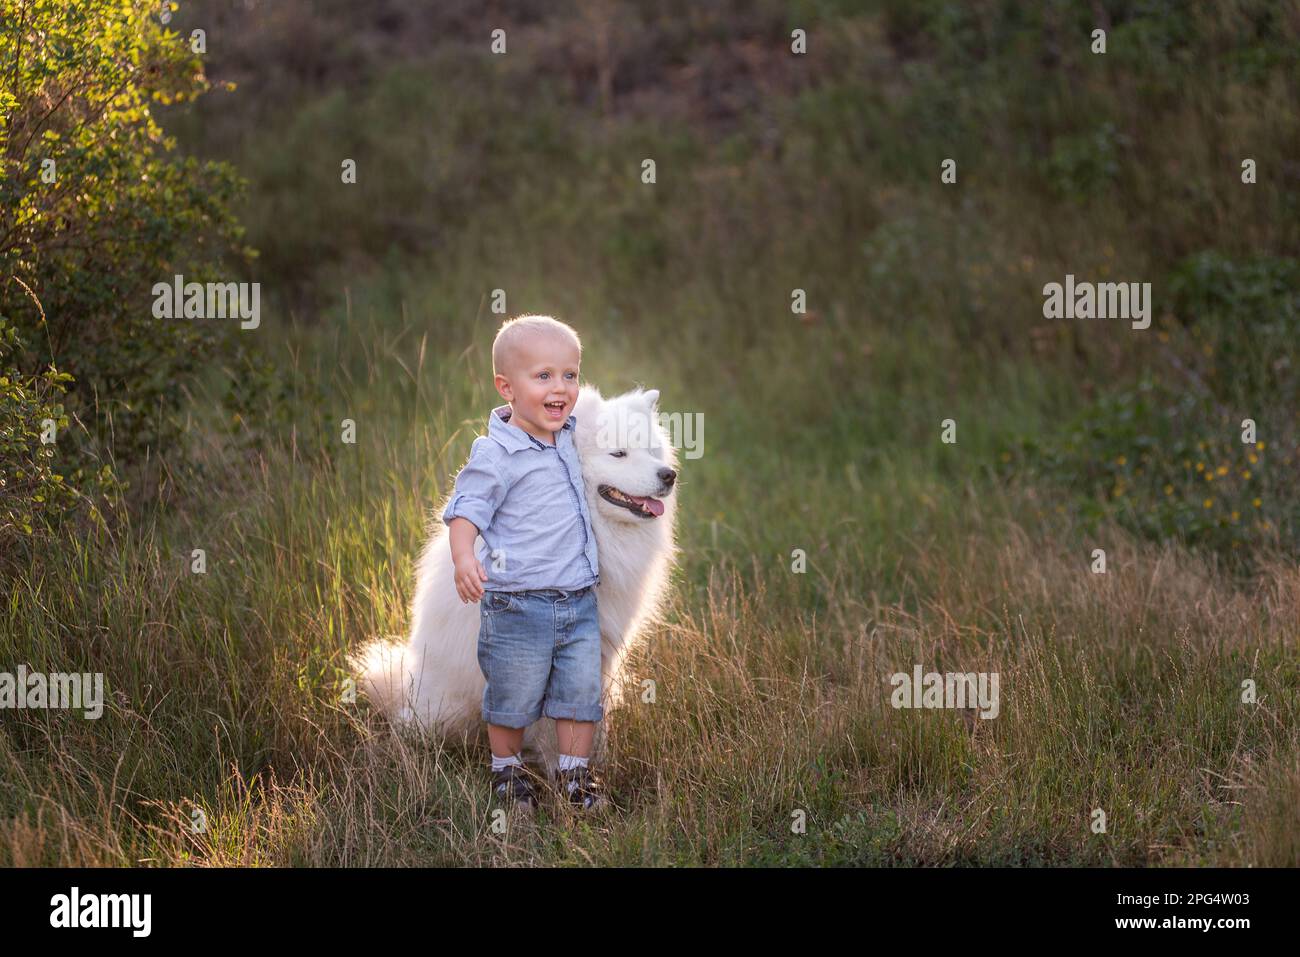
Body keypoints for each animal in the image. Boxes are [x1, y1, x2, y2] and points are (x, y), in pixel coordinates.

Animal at [356, 384, 681, 764]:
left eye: (652, 452)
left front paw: (591, 760)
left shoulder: (599, 653)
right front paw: (556, 763)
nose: (668, 475)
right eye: (619, 454)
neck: (602, 539)